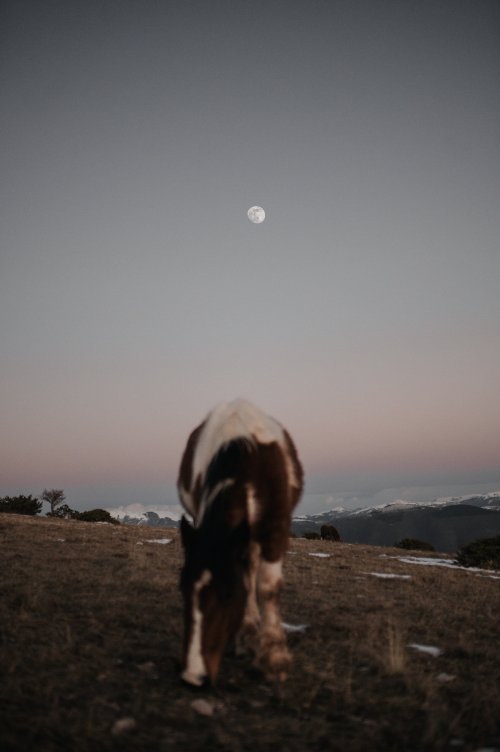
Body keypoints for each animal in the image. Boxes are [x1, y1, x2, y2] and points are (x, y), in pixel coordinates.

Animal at [180, 400, 304, 688]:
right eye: (182, 588)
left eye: (227, 594)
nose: (193, 676)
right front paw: (247, 639)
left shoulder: (276, 528)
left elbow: (268, 588)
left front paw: (275, 658)